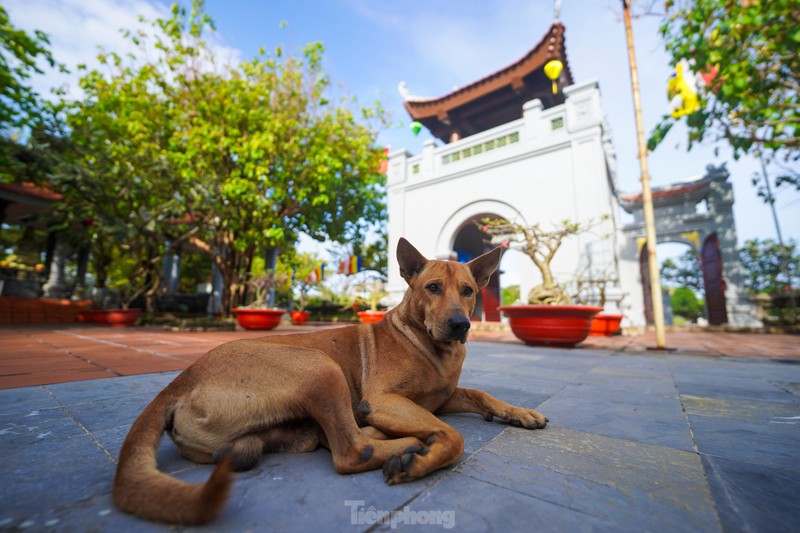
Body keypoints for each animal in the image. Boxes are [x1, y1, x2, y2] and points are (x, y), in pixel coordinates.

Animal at [114, 239, 552, 520]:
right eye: (432, 288)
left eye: (468, 290)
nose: (461, 325)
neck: (430, 345)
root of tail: (179, 381)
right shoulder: (386, 400)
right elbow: (453, 436)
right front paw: (424, 457)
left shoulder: (444, 398)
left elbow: (480, 393)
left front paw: (519, 412)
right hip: (320, 367)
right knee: (350, 451)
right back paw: (406, 447)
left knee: (333, 440)